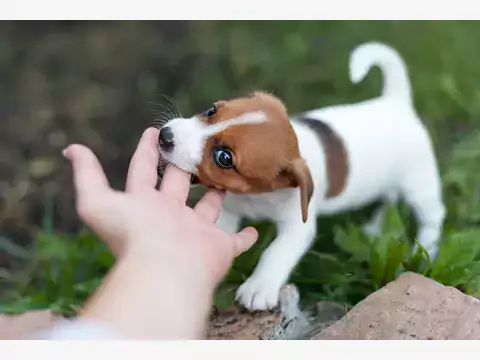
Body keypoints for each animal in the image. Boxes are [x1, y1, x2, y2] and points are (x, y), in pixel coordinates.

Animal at [158, 41, 446, 312]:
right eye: (211, 111)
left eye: (224, 157)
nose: (164, 135)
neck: (257, 197)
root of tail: (395, 103)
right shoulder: (229, 210)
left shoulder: (298, 227)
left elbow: (275, 252)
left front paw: (259, 286)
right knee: (389, 199)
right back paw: (376, 227)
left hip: (419, 184)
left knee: (431, 215)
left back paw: (425, 250)